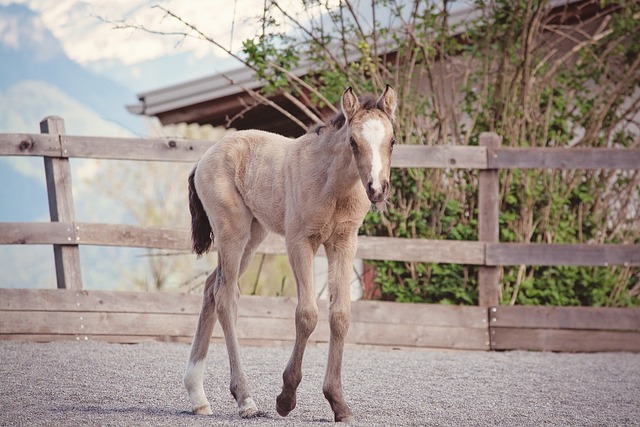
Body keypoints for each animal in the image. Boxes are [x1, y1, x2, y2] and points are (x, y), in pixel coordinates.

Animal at [182, 85, 398, 422]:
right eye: (353, 141)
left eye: (392, 141)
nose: (377, 189)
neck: (332, 184)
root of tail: (205, 157)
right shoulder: (300, 242)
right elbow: (307, 314)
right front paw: (286, 397)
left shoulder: (344, 243)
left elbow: (340, 315)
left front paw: (339, 403)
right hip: (233, 233)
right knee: (225, 296)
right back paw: (245, 399)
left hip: (254, 235)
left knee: (210, 289)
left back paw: (198, 397)